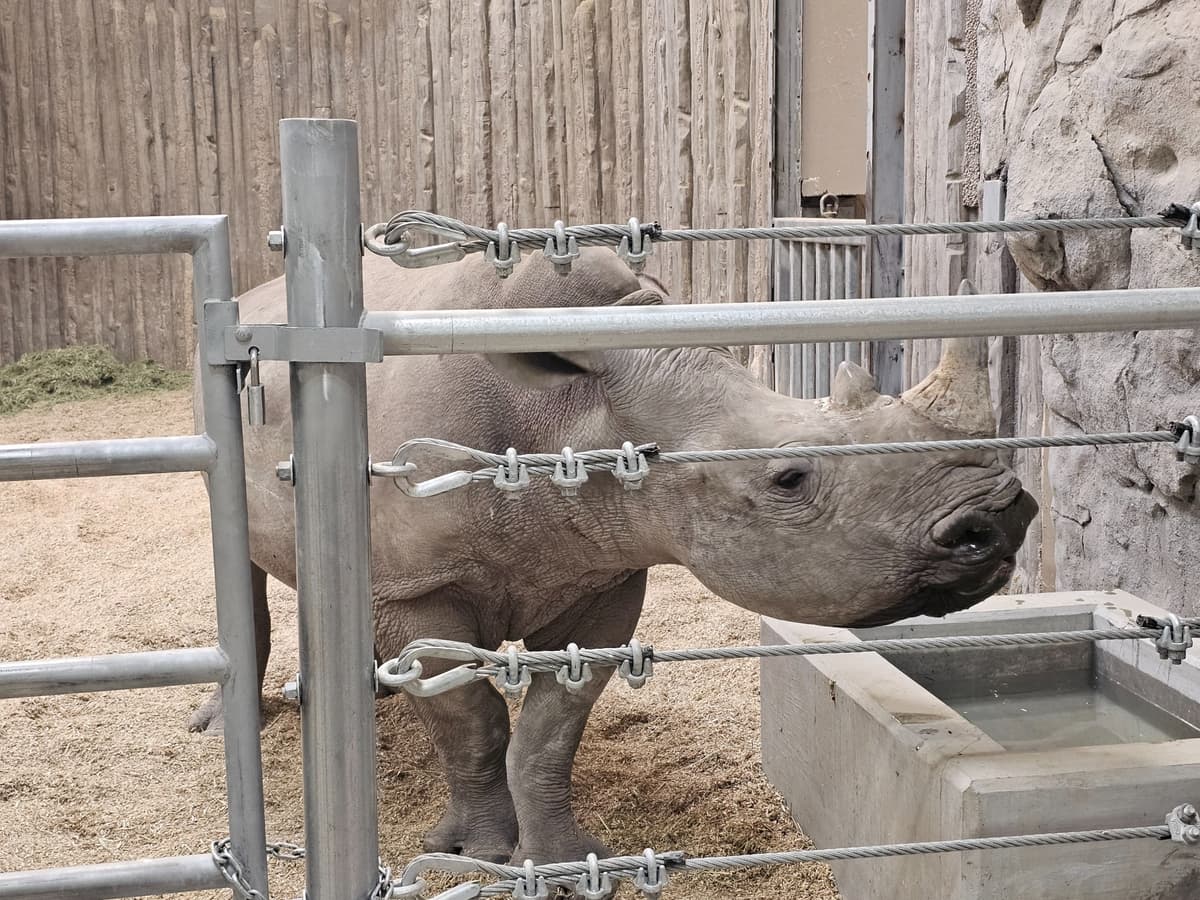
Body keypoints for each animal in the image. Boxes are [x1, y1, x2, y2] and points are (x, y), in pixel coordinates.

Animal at [191, 248, 1037, 866]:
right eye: (789, 478)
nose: (1003, 520)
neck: (575, 411)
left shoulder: (605, 568)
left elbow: (551, 726)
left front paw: (564, 859)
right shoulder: (419, 585)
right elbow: (472, 721)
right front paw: (478, 854)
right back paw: (231, 721)